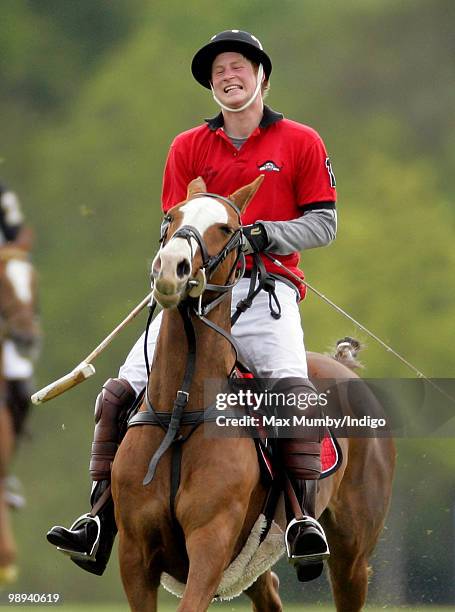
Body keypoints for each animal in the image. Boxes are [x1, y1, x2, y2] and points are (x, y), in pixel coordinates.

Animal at [111, 178, 396, 612]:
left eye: (228, 228)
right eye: (171, 216)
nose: (171, 268)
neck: (181, 409)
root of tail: (344, 366)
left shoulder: (211, 542)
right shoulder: (135, 554)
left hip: (353, 551)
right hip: (250, 563)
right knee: (270, 592)